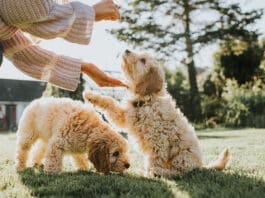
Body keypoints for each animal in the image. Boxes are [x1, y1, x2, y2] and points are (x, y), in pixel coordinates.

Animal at [83, 50, 228, 178]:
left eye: (143, 60)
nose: (127, 50)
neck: (147, 100)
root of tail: (200, 165)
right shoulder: (124, 117)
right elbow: (110, 102)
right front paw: (90, 96)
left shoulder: (158, 139)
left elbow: (154, 159)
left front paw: (150, 173)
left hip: (182, 157)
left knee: (179, 172)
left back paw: (160, 172)